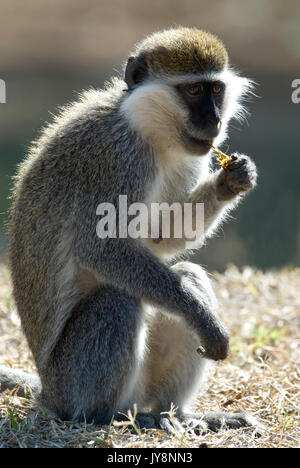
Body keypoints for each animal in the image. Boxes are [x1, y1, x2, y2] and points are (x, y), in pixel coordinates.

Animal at [0, 28, 258, 432]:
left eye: (216, 89)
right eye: (193, 91)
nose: (215, 121)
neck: (146, 128)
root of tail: (48, 392)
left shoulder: (190, 158)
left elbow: (157, 239)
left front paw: (230, 181)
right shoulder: (117, 159)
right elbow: (102, 248)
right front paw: (205, 320)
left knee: (188, 274)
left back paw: (177, 415)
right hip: (72, 380)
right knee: (118, 299)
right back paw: (110, 416)